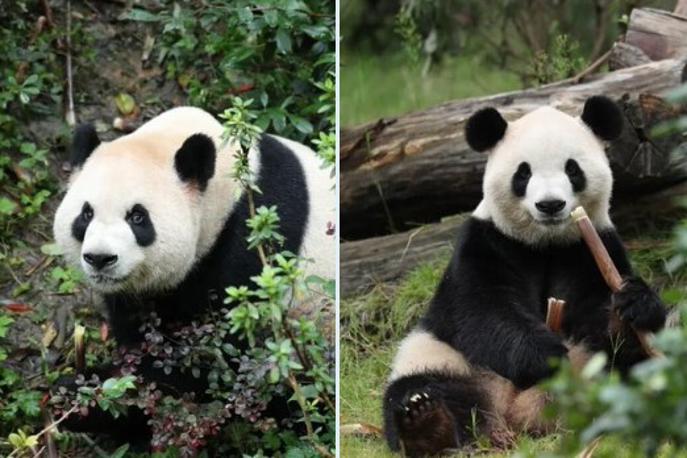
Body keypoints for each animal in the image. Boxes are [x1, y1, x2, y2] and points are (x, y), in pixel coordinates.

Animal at [52, 106, 334, 435]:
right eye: (86, 214)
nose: (100, 258)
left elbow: (212, 361)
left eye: (138, 217)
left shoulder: (253, 245)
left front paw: (84, 397)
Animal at [382, 96, 668, 456]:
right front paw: (543, 355)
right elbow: (482, 310)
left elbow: (600, 314)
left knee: (631, 372)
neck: (545, 243)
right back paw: (427, 423)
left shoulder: (591, 247)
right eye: (523, 173)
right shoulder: (486, 243)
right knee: (421, 387)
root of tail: (515, 414)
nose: (550, 205)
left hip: (592, 370)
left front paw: (631, 306)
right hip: (442, 356)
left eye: (572, 169)